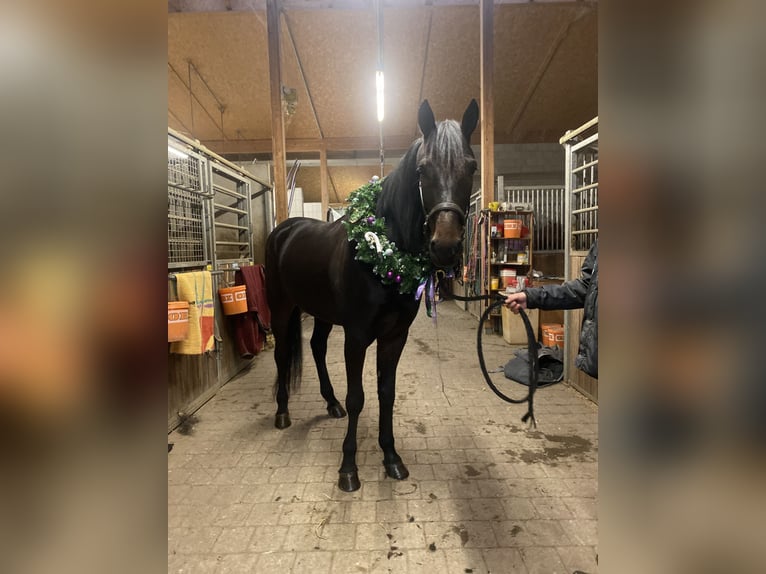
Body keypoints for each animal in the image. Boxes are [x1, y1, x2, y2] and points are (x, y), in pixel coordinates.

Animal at [265, 99, 479, 492]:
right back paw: (283, 412)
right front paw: (348, 468)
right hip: (281, 308)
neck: (382, 254)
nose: (445, 247)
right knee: (283, 353)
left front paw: (391, 457)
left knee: (316, 348)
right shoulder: (356, 336)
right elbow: (358, 398)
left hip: (321, 313)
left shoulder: (394, 337)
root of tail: (285, 230)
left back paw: (330, 403)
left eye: (470, 167)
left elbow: (385, 394)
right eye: (422, 169)